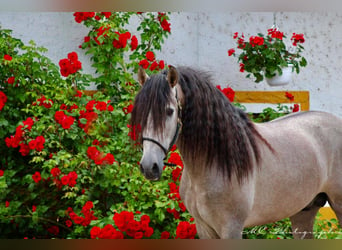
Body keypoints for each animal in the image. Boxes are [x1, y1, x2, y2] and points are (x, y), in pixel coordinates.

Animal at [130, 65, 342, 239]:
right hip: (303, 211)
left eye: (169, 111)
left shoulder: (231, 228)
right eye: (140, 112)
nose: (149, 167)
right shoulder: (204, 228)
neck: (214, 162)